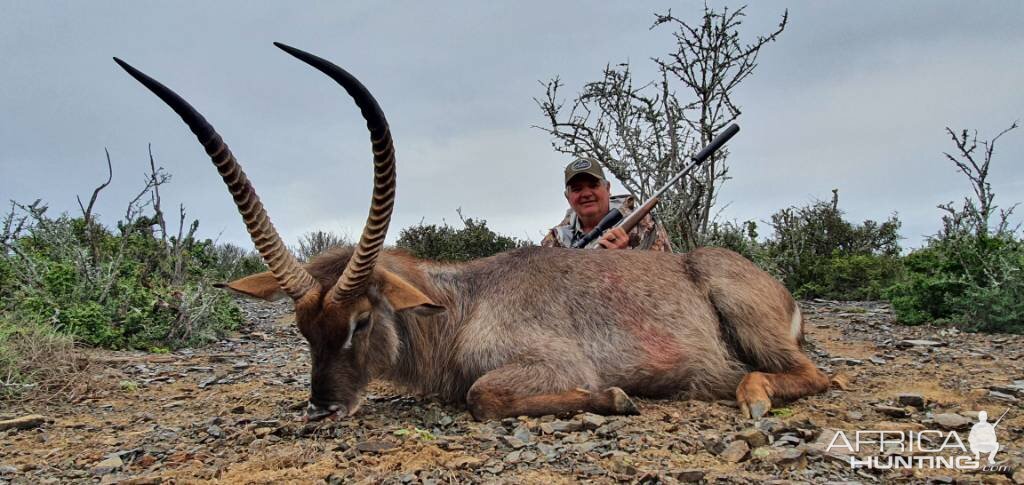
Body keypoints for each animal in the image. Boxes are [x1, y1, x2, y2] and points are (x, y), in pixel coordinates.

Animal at [116, 42, 827, 421]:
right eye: (300, 329)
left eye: (361, 321)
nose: (322, 407)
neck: (463, 304)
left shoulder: (548, 363)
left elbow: (484, 396)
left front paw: (616, 397)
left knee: (815, 377)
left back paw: (751, 395)